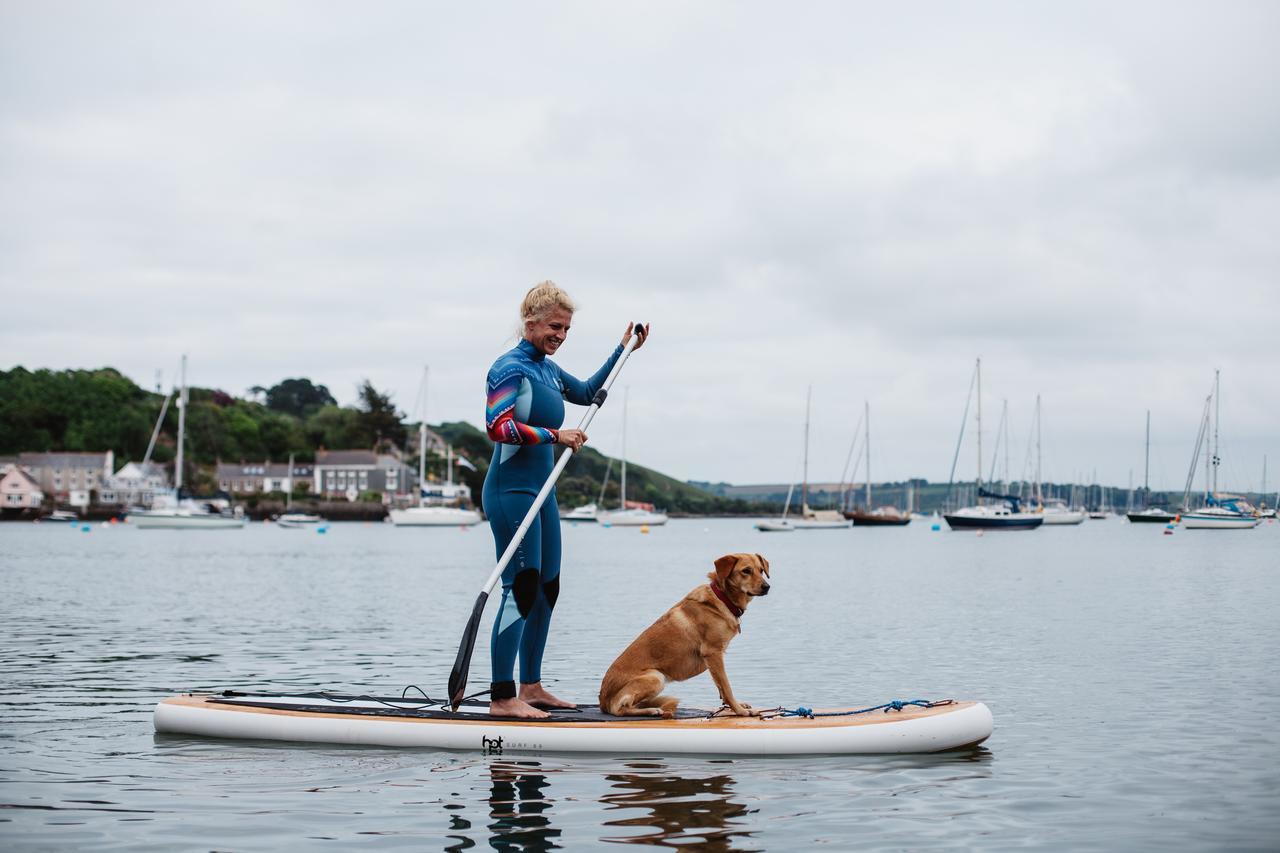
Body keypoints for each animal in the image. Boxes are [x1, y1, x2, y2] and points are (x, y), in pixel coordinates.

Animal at [599, 550, 768, 717]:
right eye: (746, 571)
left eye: (761, 570)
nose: (767, 587)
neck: (722, 598)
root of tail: (603, 702)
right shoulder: (713, 653)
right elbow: (726, 687)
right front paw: (740, 711)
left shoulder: (715, 658)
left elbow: (720, 687)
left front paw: (734, 706)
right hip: (656, 677)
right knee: (620, 709)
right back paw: (652, 710)